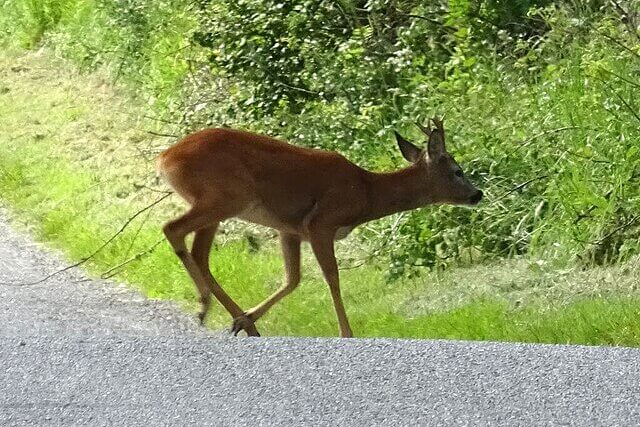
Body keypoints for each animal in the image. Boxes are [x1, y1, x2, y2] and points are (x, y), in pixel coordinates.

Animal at [157, 118, 482, 338]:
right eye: (457, 172)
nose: (477, 194)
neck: (367, 192)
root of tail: (164, 158)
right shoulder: (321, 222)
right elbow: (332, 278)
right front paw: (347, 333)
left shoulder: (290, 229)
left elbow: (293, 279)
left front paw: (247, 319)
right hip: (225, 197)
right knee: (173, 229)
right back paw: (203, 305)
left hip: (217, 203)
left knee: (199, 253)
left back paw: (238, 321)